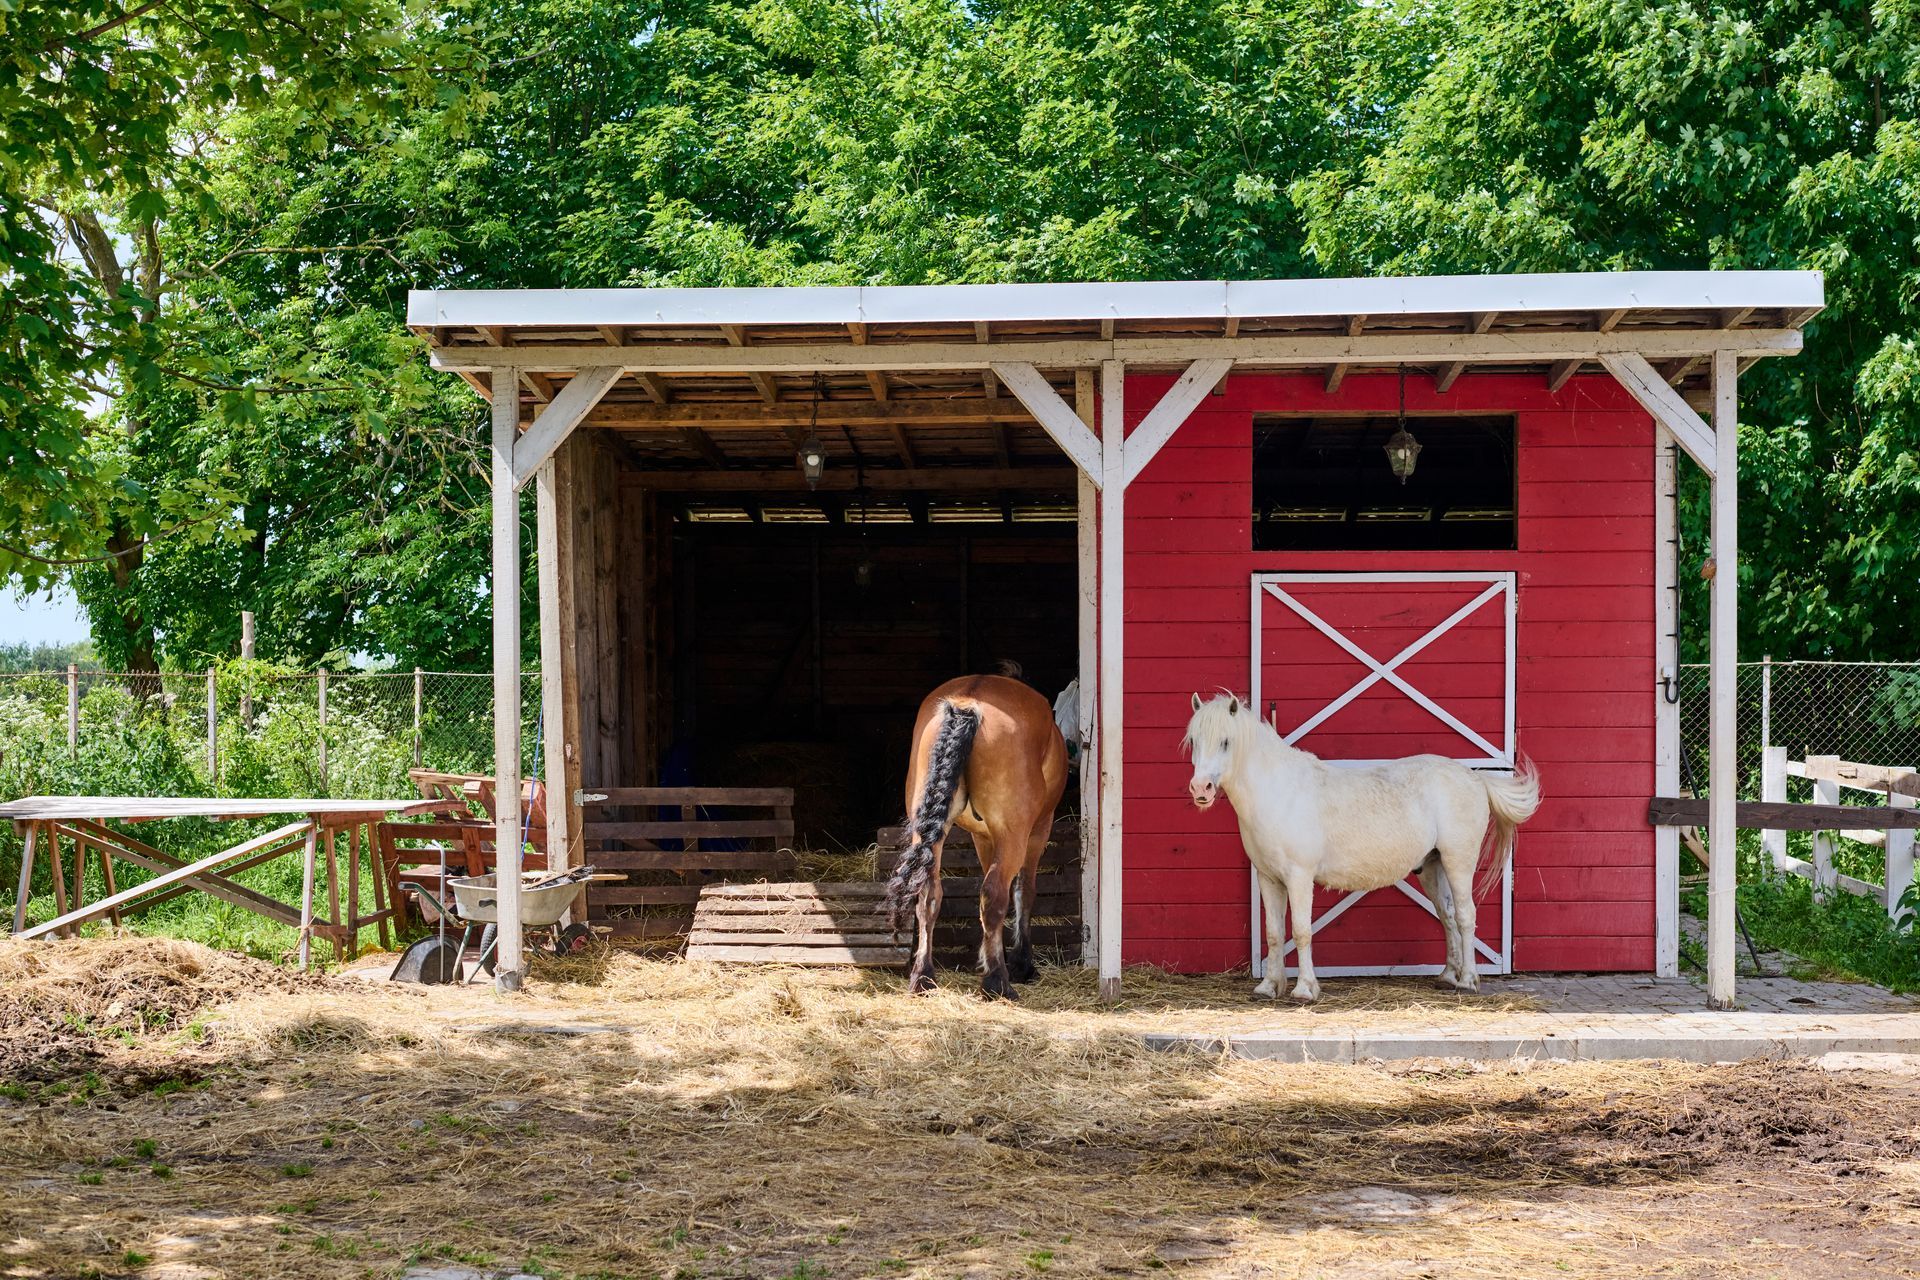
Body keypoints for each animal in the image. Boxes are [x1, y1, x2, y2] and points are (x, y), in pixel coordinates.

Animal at [882, 673, 1069, 998]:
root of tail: (967, 704)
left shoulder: (983, 837)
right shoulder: (1036, 832)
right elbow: (1024, 892)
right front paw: (1021, 963)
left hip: (929, 834)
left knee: (929, 895)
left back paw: (923, 976)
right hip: (1014, 835)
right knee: (994, 894)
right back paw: (998, 981)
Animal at [1182, 692, 1541, 1002]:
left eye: (1226, 742)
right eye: (1195, 741)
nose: (1201, 789)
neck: (1279, 792)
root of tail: (1474, 777)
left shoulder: (1299, 877)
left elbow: (1300, 931)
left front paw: (1304, 990)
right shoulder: (1268, 879)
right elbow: (1273, 932)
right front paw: (1269, 987)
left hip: (1459, 862)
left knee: (1466, 916)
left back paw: (1467, 981)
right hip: (1432, 866)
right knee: (1447, 915)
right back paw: (1447, 977)